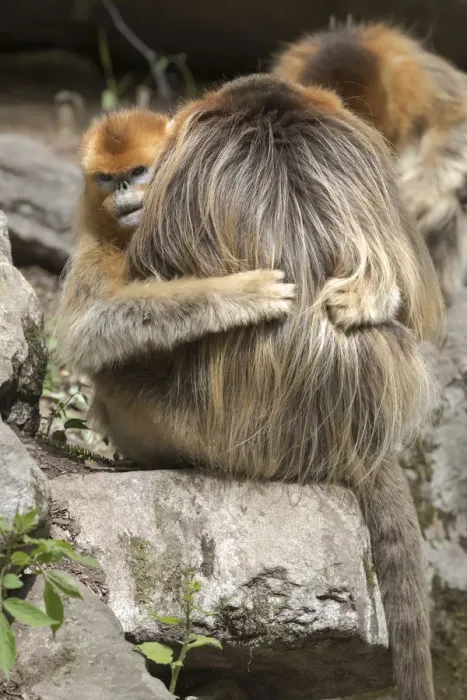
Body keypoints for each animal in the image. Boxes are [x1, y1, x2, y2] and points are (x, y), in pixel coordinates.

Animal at [58, 76, 444, 699]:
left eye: (138, 172)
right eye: (108, 179)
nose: (125, 197)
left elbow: (91, 334)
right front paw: (242, 295)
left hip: (178, 427)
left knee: (114, 372)